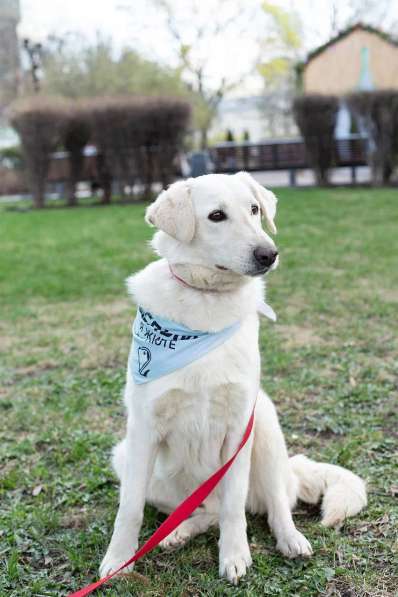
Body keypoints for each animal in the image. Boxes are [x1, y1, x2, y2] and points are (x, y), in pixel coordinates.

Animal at [100, 171, 366, 584]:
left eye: (254, 210)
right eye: (216, 216)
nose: (269, 254)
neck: (207, 302)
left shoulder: (239, 426)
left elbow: (233, 506)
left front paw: (235, 555)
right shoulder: (143, 429)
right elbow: (129, 509)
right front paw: (118, 560)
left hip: (266, 429)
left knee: (274, 505)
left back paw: (290, 539)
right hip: (125, 456)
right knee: (202, 511)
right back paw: (177, 532)